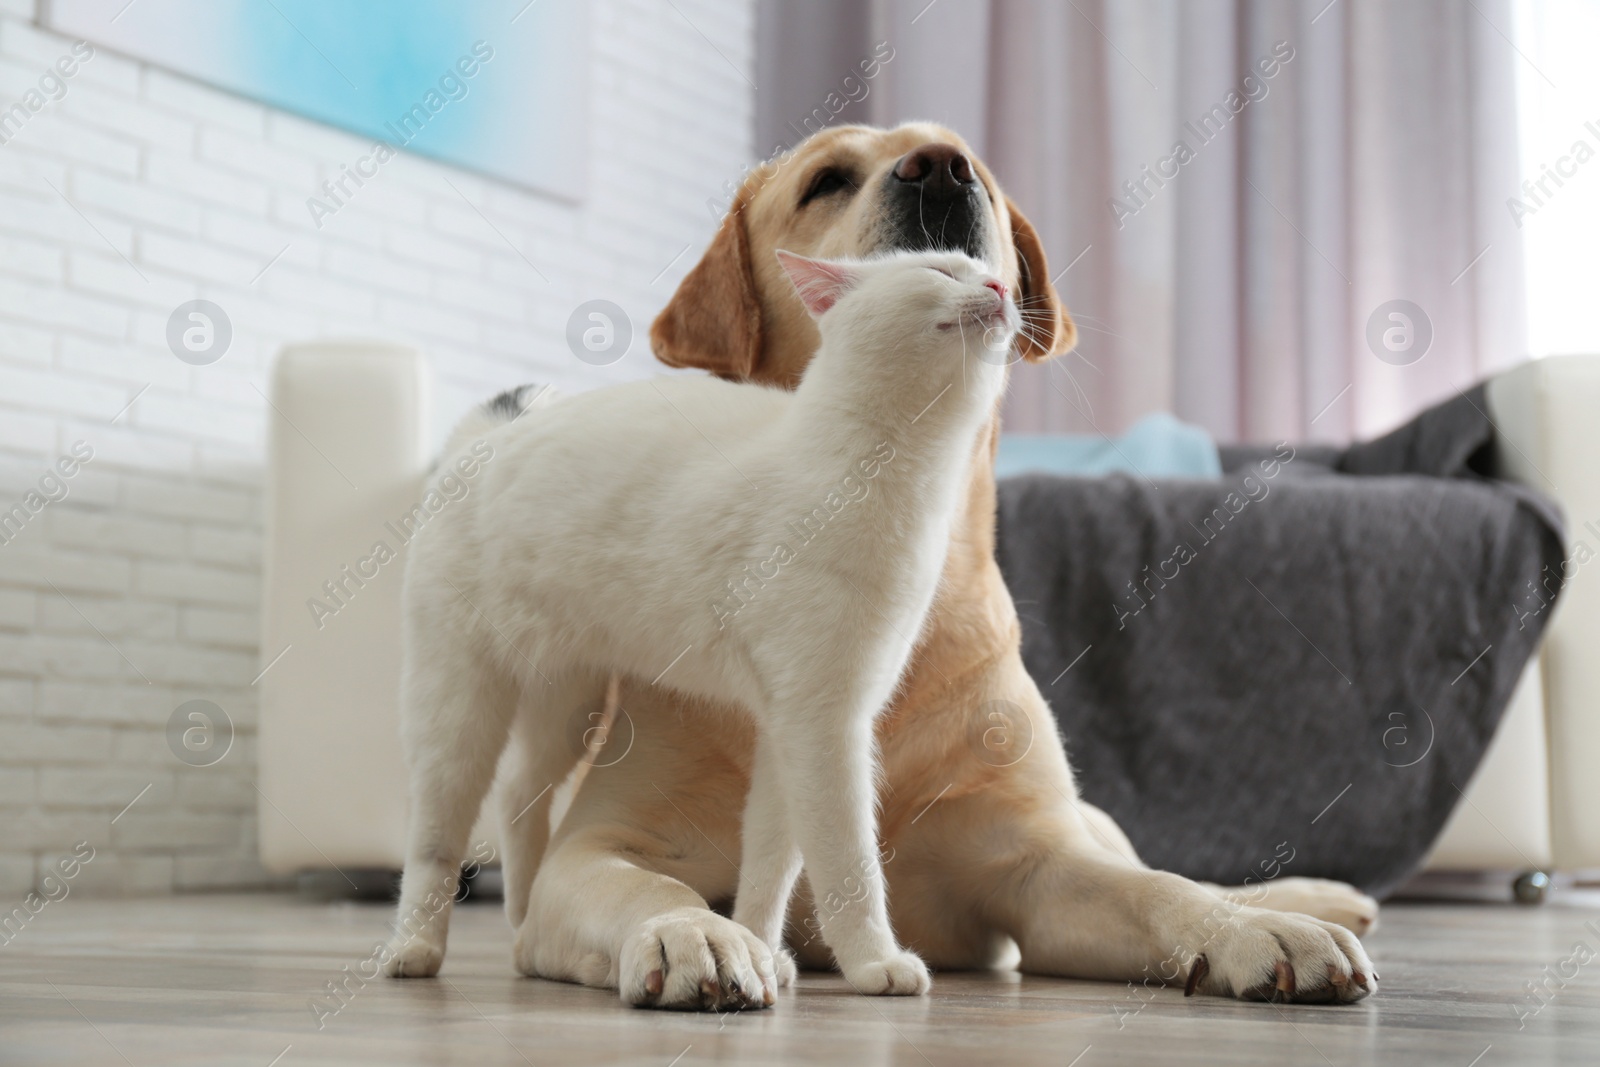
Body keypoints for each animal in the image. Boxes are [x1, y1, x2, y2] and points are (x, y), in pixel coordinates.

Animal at [380, 246, 1017, 1004]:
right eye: (940, 271)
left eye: (987, 269)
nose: (1001, 285)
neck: (899, 473)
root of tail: (484, 440)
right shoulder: (825, 724)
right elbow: (847, 860)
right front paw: (875, 962)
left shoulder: (789, 728)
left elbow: (772, 858)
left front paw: (764, 951)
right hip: (459, 705)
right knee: (435, 835)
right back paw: (414, 948)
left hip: (567, 703)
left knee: (517, 796)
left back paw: (525, 914)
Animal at [486, 123, 1376, 1011]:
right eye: (827, 181)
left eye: (972, 163)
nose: (941, 172)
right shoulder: (604, 840)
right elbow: (647, 885)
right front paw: (694, 929)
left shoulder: (1036, 862)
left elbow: (1164, 889)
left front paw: (1253, 930)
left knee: (1160, 865)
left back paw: (1309, 899)